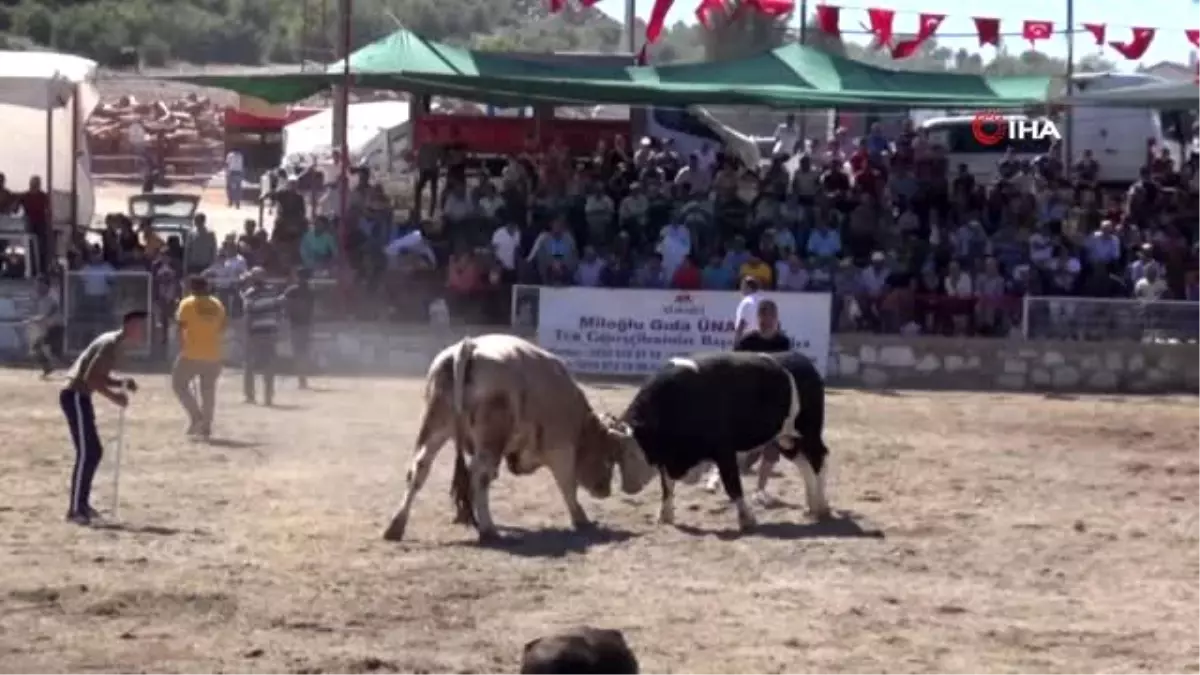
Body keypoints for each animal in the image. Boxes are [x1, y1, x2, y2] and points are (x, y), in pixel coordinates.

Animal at [384, 331, 657, 540]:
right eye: (609, 458)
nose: (605, 491)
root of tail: (469, 347)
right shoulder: (560, 449)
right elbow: (567, 484)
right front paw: (580, 518)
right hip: (491, 437)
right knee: (479, 475)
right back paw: (489, 530)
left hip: (436, 425)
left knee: (420, 467)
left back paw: (396, 526)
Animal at [624, 348, 830, 528]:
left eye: (635, 451)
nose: (628, 487)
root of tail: (801, 360)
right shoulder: (667, 458)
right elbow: (666, 485)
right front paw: (665, 516)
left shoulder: (724, 450)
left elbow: (732, 484)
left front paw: (747, 519)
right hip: (786, 439)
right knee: (804, 464)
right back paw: (812, 506)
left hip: (808, 433)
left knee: (818, 459)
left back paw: (821, 508)